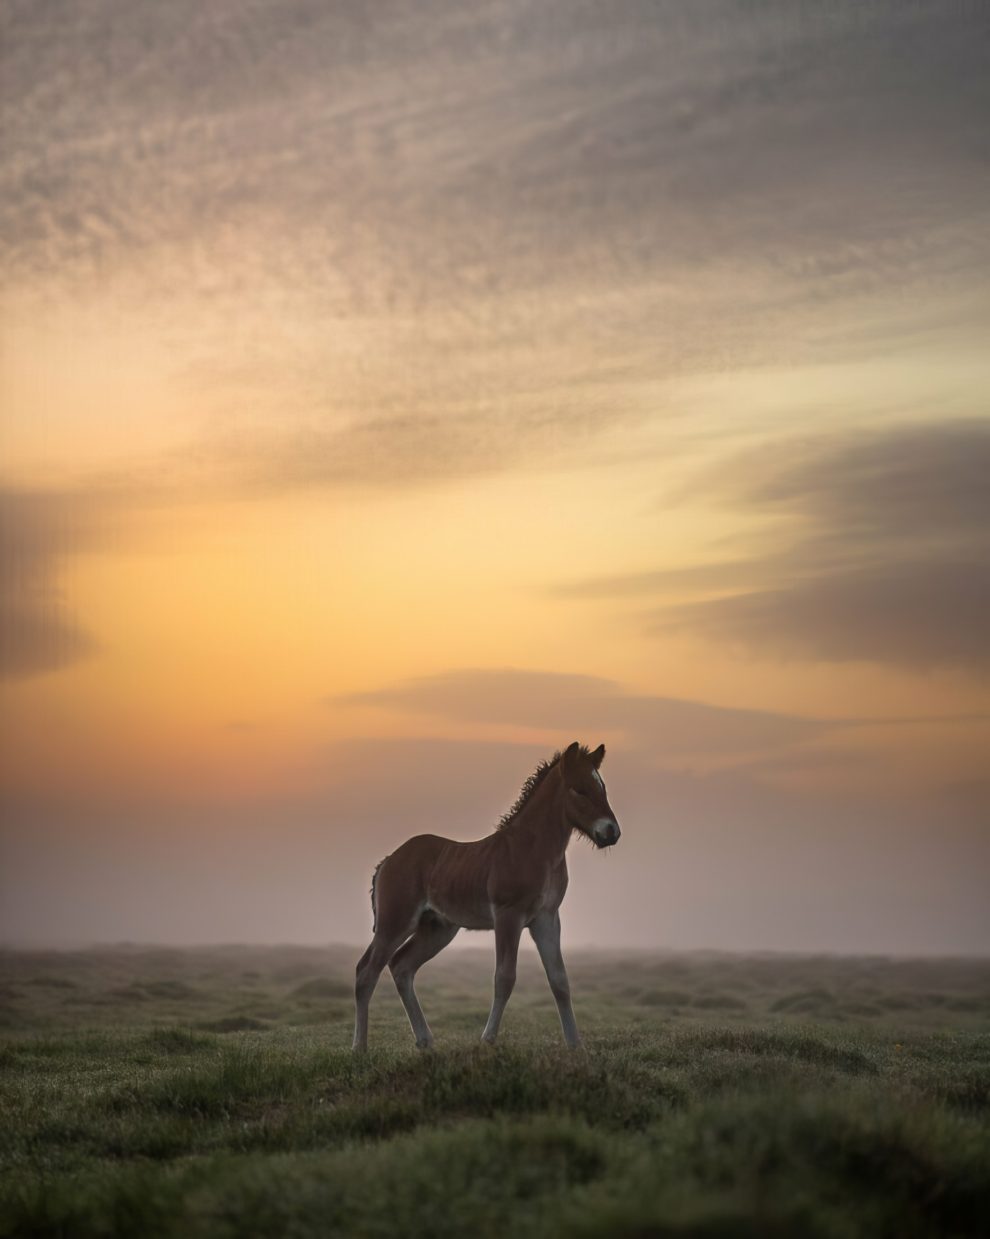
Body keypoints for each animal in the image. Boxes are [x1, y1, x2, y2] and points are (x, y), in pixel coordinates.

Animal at [351, 738, 624, 1050]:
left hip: (437, 929)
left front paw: (575, 1044)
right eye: (579, 789)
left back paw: (425, 1040)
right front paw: (488, 1039)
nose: (611, 832)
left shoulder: (546, 919)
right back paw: (359, 1047)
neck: (534, 849)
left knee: (401, 966)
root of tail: (387, 862)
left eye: (602, 788)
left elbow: (559, 980)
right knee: (366, 971)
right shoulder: (508, 916)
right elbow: (504, 977)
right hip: (395, 922)